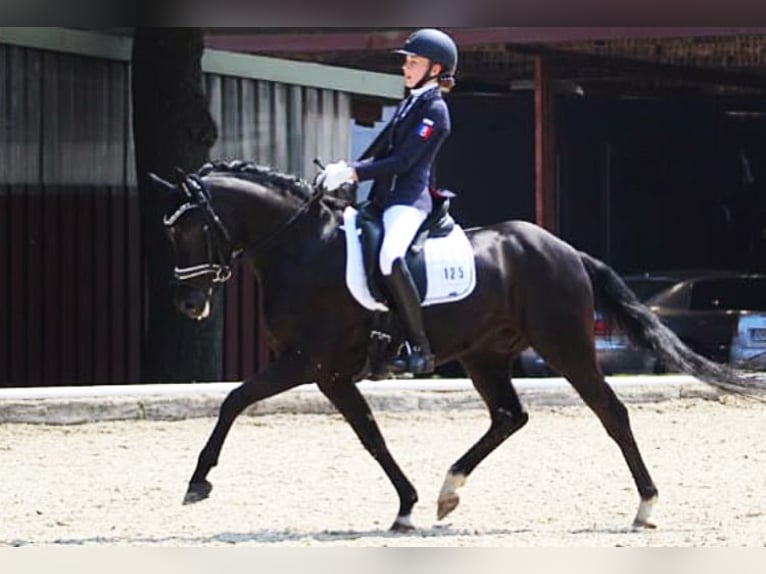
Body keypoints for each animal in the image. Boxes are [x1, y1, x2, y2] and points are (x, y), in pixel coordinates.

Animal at [153, 160, 764, 532]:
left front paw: (198, 481)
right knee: (509, 417)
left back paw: (645, 505)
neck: (304, 248)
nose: (188, 305)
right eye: (170, 233)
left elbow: (234, 400)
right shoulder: (332, 374)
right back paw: (449, 490)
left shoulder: (309, 362)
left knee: (610, 412)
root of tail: (565, 250)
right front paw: (407, 506)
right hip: (484, 355)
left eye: (192, 230)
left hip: (564, 347)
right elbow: (371, 436)